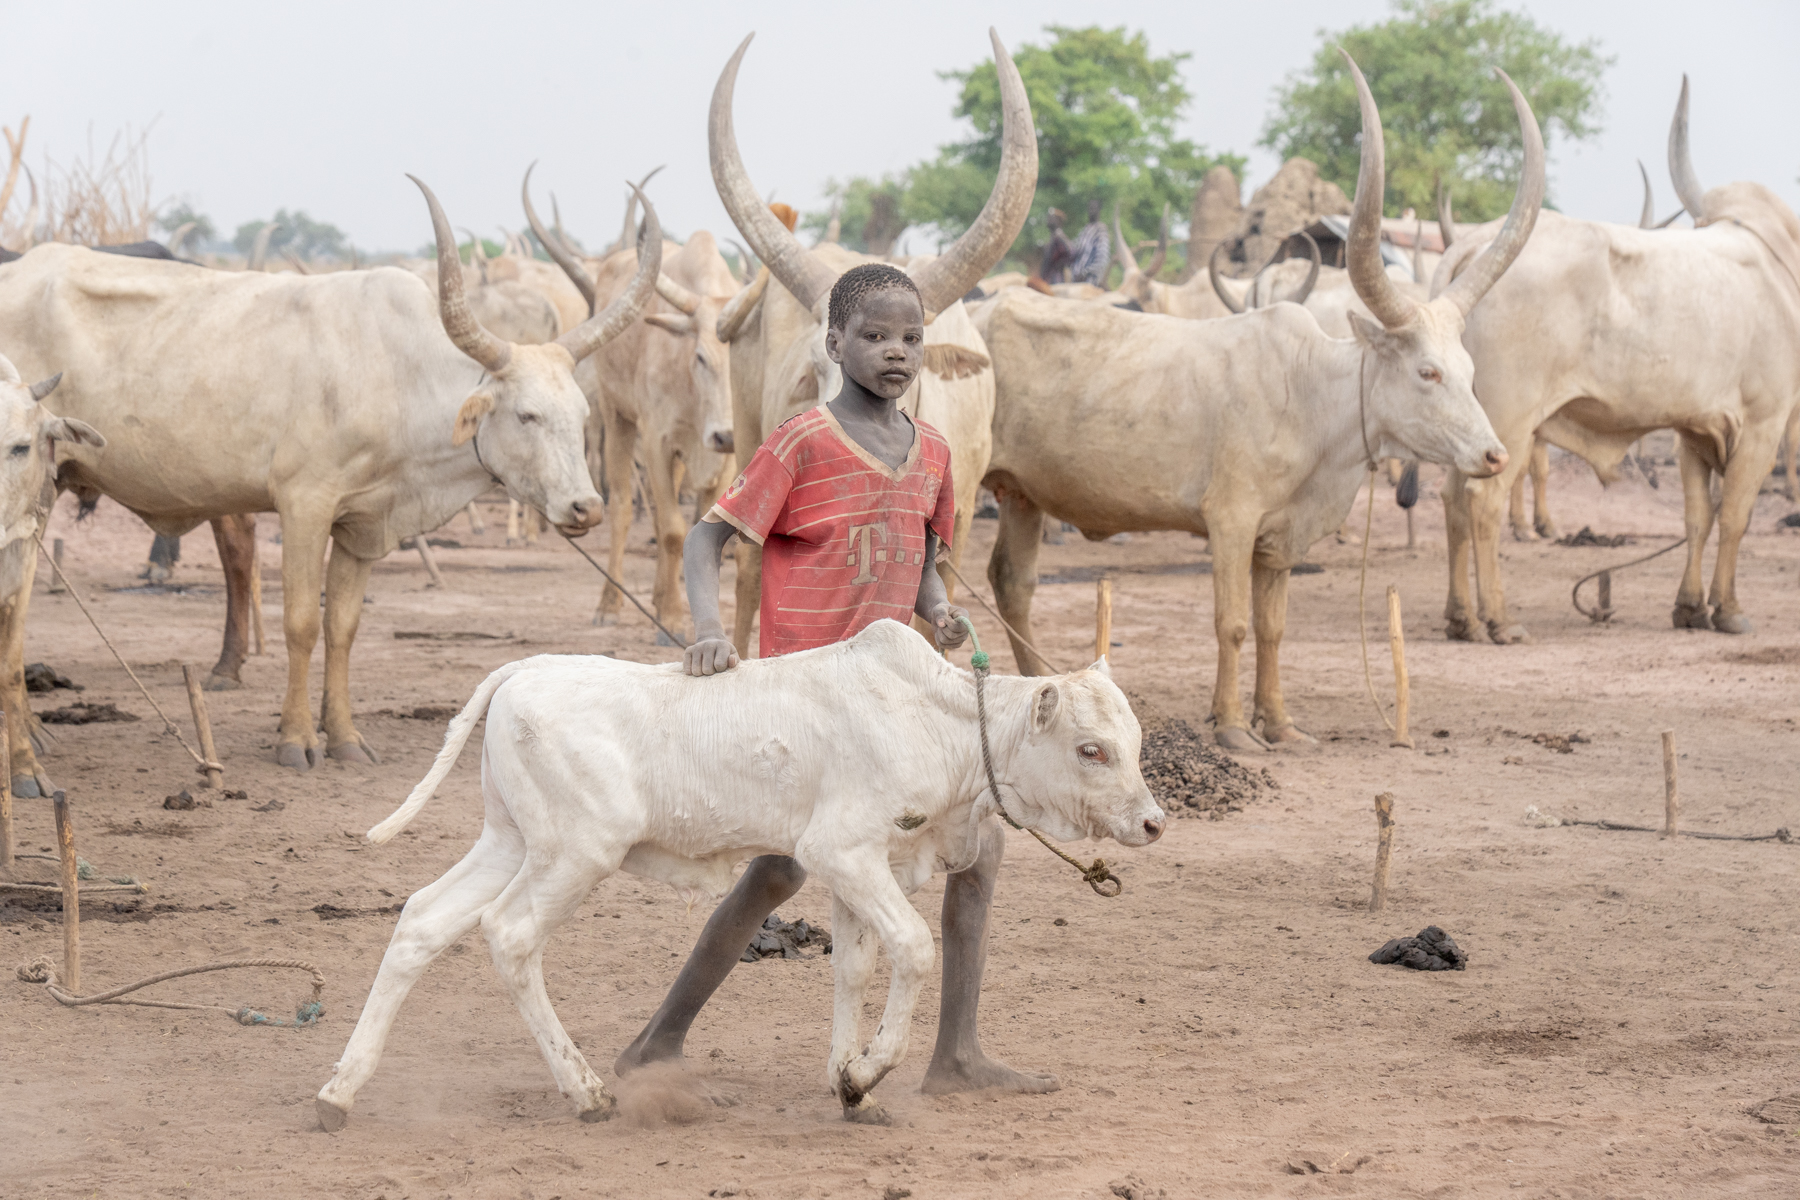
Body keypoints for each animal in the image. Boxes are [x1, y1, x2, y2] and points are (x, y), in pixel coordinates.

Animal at [0, 179, 660, 787]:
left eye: (580, 414)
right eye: (526, 415)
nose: (586, 507)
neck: (396, 372)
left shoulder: (361, 524)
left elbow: (342, 628)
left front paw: (342, 736)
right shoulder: (304, 505)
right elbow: (300, 623)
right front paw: (295, 739)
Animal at [313, 619, 1165, 1130]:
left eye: (1133, 740)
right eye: (1090, 748)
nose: (1154, 822)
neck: (943, 724)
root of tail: (527, 672)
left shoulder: (860, 868)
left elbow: (855, 967)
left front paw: (849, 1085)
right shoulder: (843, 851)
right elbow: (915, 949)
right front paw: (868, 1072)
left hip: (508, 841)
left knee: (422, 920)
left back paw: (339, 1091)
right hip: (573, 855)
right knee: (510, 935)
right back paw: (586, 1091)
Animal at [522, 169, 742, 634]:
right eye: (700, 356)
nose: (725, 434)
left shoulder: (724, 454)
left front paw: (673, 606)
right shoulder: (657, 439)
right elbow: (672, 529)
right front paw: (673, 619)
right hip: (616, 415)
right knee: (624, 506)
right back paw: (610, 604)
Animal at [971, 52, 1539, 751]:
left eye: (1468, 370)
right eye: (1427, 372)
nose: (1493, 455)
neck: (1312, 396)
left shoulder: (1279, 540)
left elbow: (1273, 627)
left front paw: (1282, 723)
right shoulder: (1231, 522)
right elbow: (1234, 623)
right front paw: (1235, 727)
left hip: (1021, 494)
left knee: (1013, 584)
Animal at [1432, 77, 1800, 642]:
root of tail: (1475, 244)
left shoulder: (1694, 431)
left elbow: (1698, 517)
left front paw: (1690, 608)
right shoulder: (1765, 422)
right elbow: (1736, 516)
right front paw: (1729, 610)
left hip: (1472, 424)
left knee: (1453, 497)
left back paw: (1461, 619)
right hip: (1509, 418)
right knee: (1481, 501)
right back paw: (1500, 619)